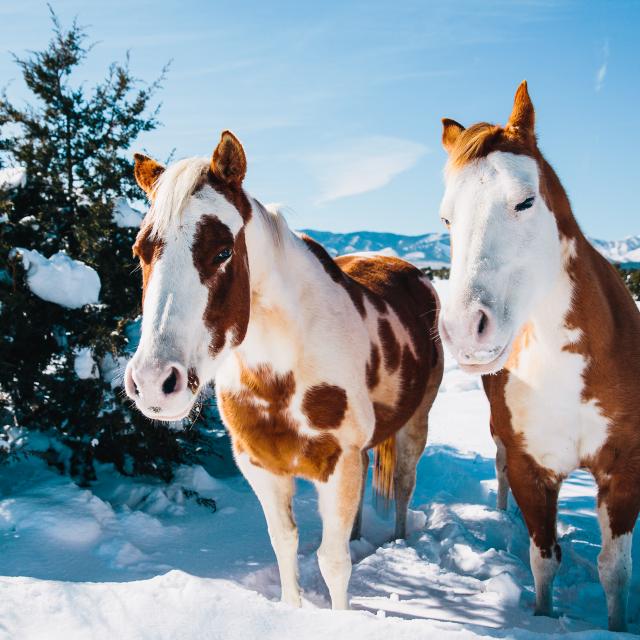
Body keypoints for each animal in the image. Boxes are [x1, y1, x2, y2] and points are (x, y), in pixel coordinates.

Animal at [122, 131, 442, 608]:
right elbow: (285, 544)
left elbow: (333, 563)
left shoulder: (336, 463)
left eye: (222, 251)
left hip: (414, 424)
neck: (280, 374)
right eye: (140, 251)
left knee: (403, 484)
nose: (154, 383)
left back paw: (398, 543)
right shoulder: (260, 466)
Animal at [438, 80, 640, 632]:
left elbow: (614, 569)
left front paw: (616, 628)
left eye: (525, 201)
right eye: (446, 218)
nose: (464, 329)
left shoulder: (623, 465)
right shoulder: (533, 467)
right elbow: (543, 558)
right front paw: (542, 617)